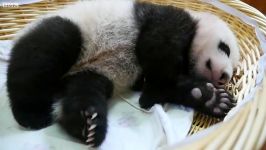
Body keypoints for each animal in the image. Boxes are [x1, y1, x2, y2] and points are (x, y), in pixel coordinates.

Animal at [6, 0, 239, 148]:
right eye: (225, 48)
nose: (224, 77)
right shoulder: (169, 19)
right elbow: (157, 45)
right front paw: (151, 96)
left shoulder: (140, 75)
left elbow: (153, 78)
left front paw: (212, 99)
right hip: (73, 30)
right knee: (45, 53)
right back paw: (31, 115)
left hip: (94, 74)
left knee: (84, 91)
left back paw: (87, 125)